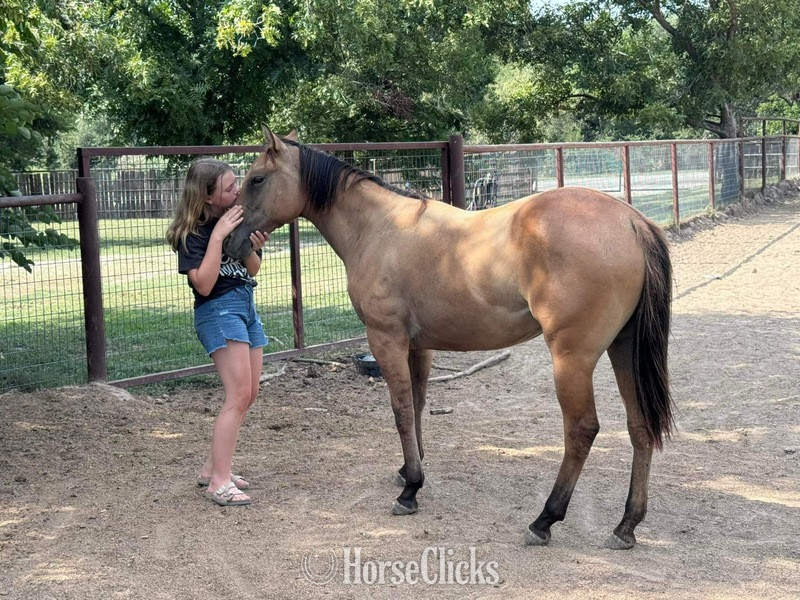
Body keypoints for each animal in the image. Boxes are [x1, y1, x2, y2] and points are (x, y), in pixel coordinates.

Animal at [224, 127, 674, 550]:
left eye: (257, 179)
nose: (229, 242)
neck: (380, 229)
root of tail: (631, 220)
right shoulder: (419, 346)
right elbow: (418, 405)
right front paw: (409, 471)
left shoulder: (386, 340)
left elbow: (401, 410)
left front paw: (410, 490)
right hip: (623, 349)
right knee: (639, 427)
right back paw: (626, 525)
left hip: (572, 358)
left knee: (581, 429)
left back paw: (545, 519)